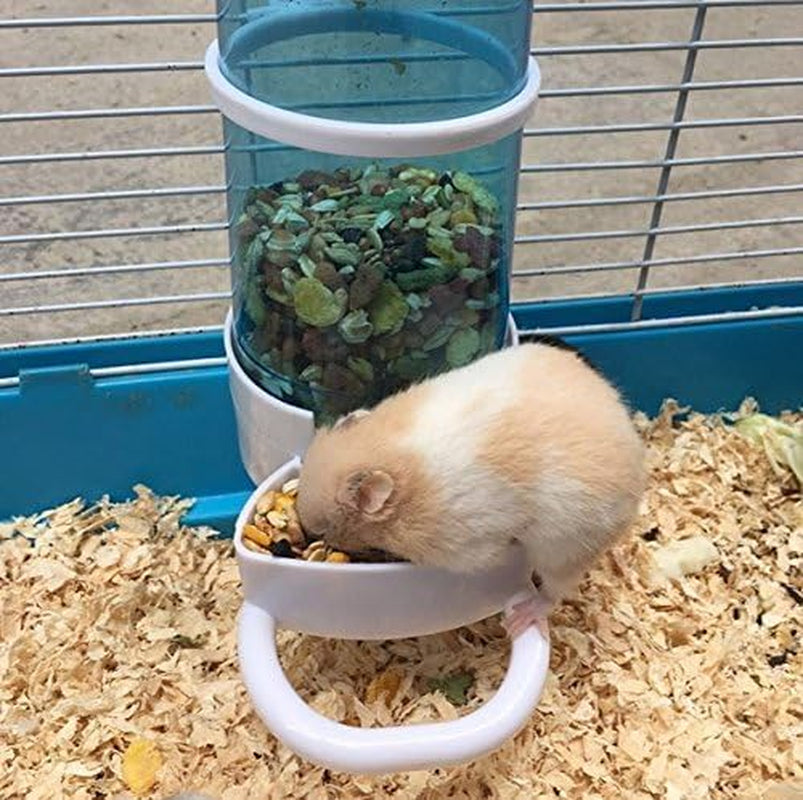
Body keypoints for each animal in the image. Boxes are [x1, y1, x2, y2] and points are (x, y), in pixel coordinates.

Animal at [296, 342, 646, 637]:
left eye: (324, 530)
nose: (309, 534)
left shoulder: (463, 546)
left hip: (567, 547)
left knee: (554, 590)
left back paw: (520, 618)